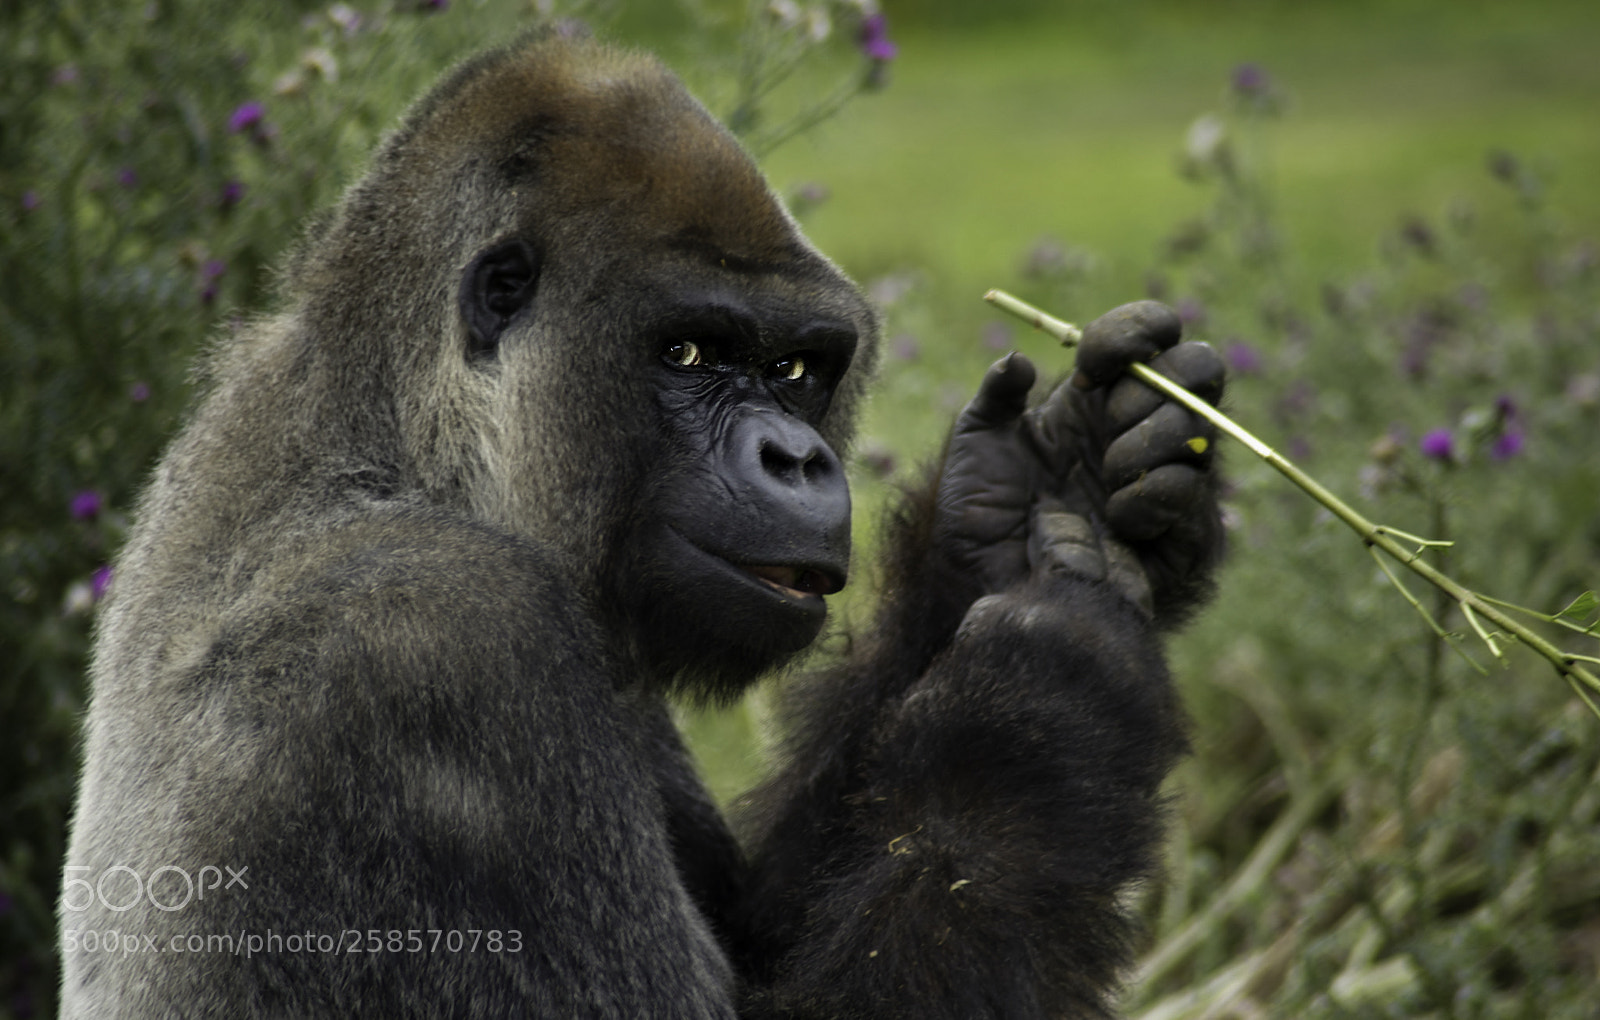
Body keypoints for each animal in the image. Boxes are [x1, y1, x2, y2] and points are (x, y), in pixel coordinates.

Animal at [59, 31, 1225, 1020]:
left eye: (796, 370)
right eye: (689, 353)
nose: (796, 459)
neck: (395, 445)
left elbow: (771, 922)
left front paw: (1022, 498)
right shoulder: (435, 637)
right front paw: (1036, 718)